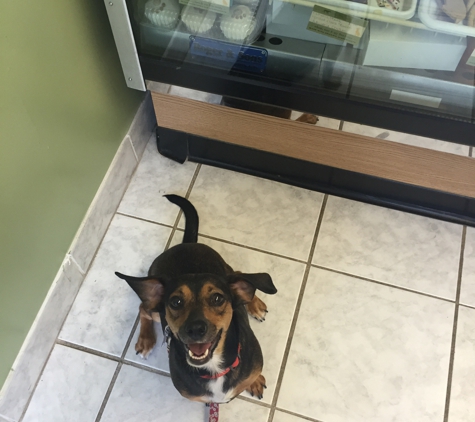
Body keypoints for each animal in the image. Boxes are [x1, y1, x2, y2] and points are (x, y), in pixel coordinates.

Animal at [116, 196, 278, 404]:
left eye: (217, 298)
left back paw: (255, 304)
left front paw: (255, 381)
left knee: (240, 274)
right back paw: (145, 340)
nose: (195, 329)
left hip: (227, 271)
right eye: (175, 301)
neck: (215, 369)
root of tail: (185, 244)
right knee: (143, 307)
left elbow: (252, 376)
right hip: (156, 312)